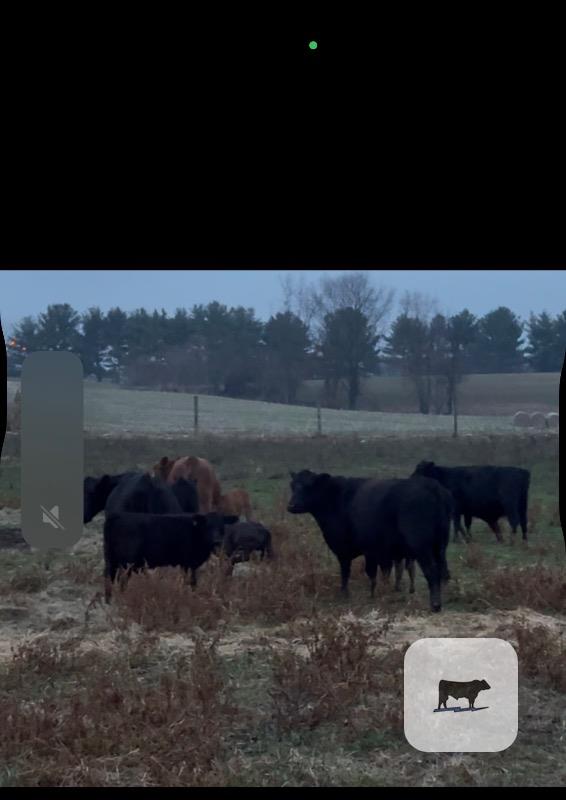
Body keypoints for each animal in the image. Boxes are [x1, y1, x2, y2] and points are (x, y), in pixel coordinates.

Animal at [103, 510, 238, 602]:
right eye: (208, 525)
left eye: (222, 526)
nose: (217, 541)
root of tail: (117, 515)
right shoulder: (189, 563)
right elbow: (192, 582)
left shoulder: (186, 564)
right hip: (126, 563)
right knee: (122, 580)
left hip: (111, 560)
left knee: (109, 579)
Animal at [287, 470, 452, 612]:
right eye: (292, 485)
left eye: (309, 486)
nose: (291, 505)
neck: (338, 498)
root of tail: (432, 486)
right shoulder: (379, 553)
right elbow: (381, 572)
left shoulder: (356, 550)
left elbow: (353, 571)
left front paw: (350, 594)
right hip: (440, 545)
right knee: (443, 570)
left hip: (421, 546)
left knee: (432, 570)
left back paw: (435, 604)